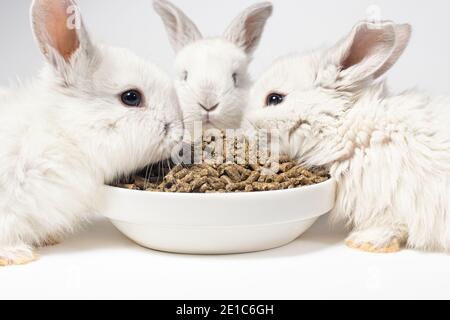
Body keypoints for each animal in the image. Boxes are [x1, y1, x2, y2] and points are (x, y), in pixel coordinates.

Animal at [244, 21, 450, 254]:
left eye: (274, 98)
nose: (243, 129)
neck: (345, 127)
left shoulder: (390, 200)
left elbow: (389, 226)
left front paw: (363, 243)